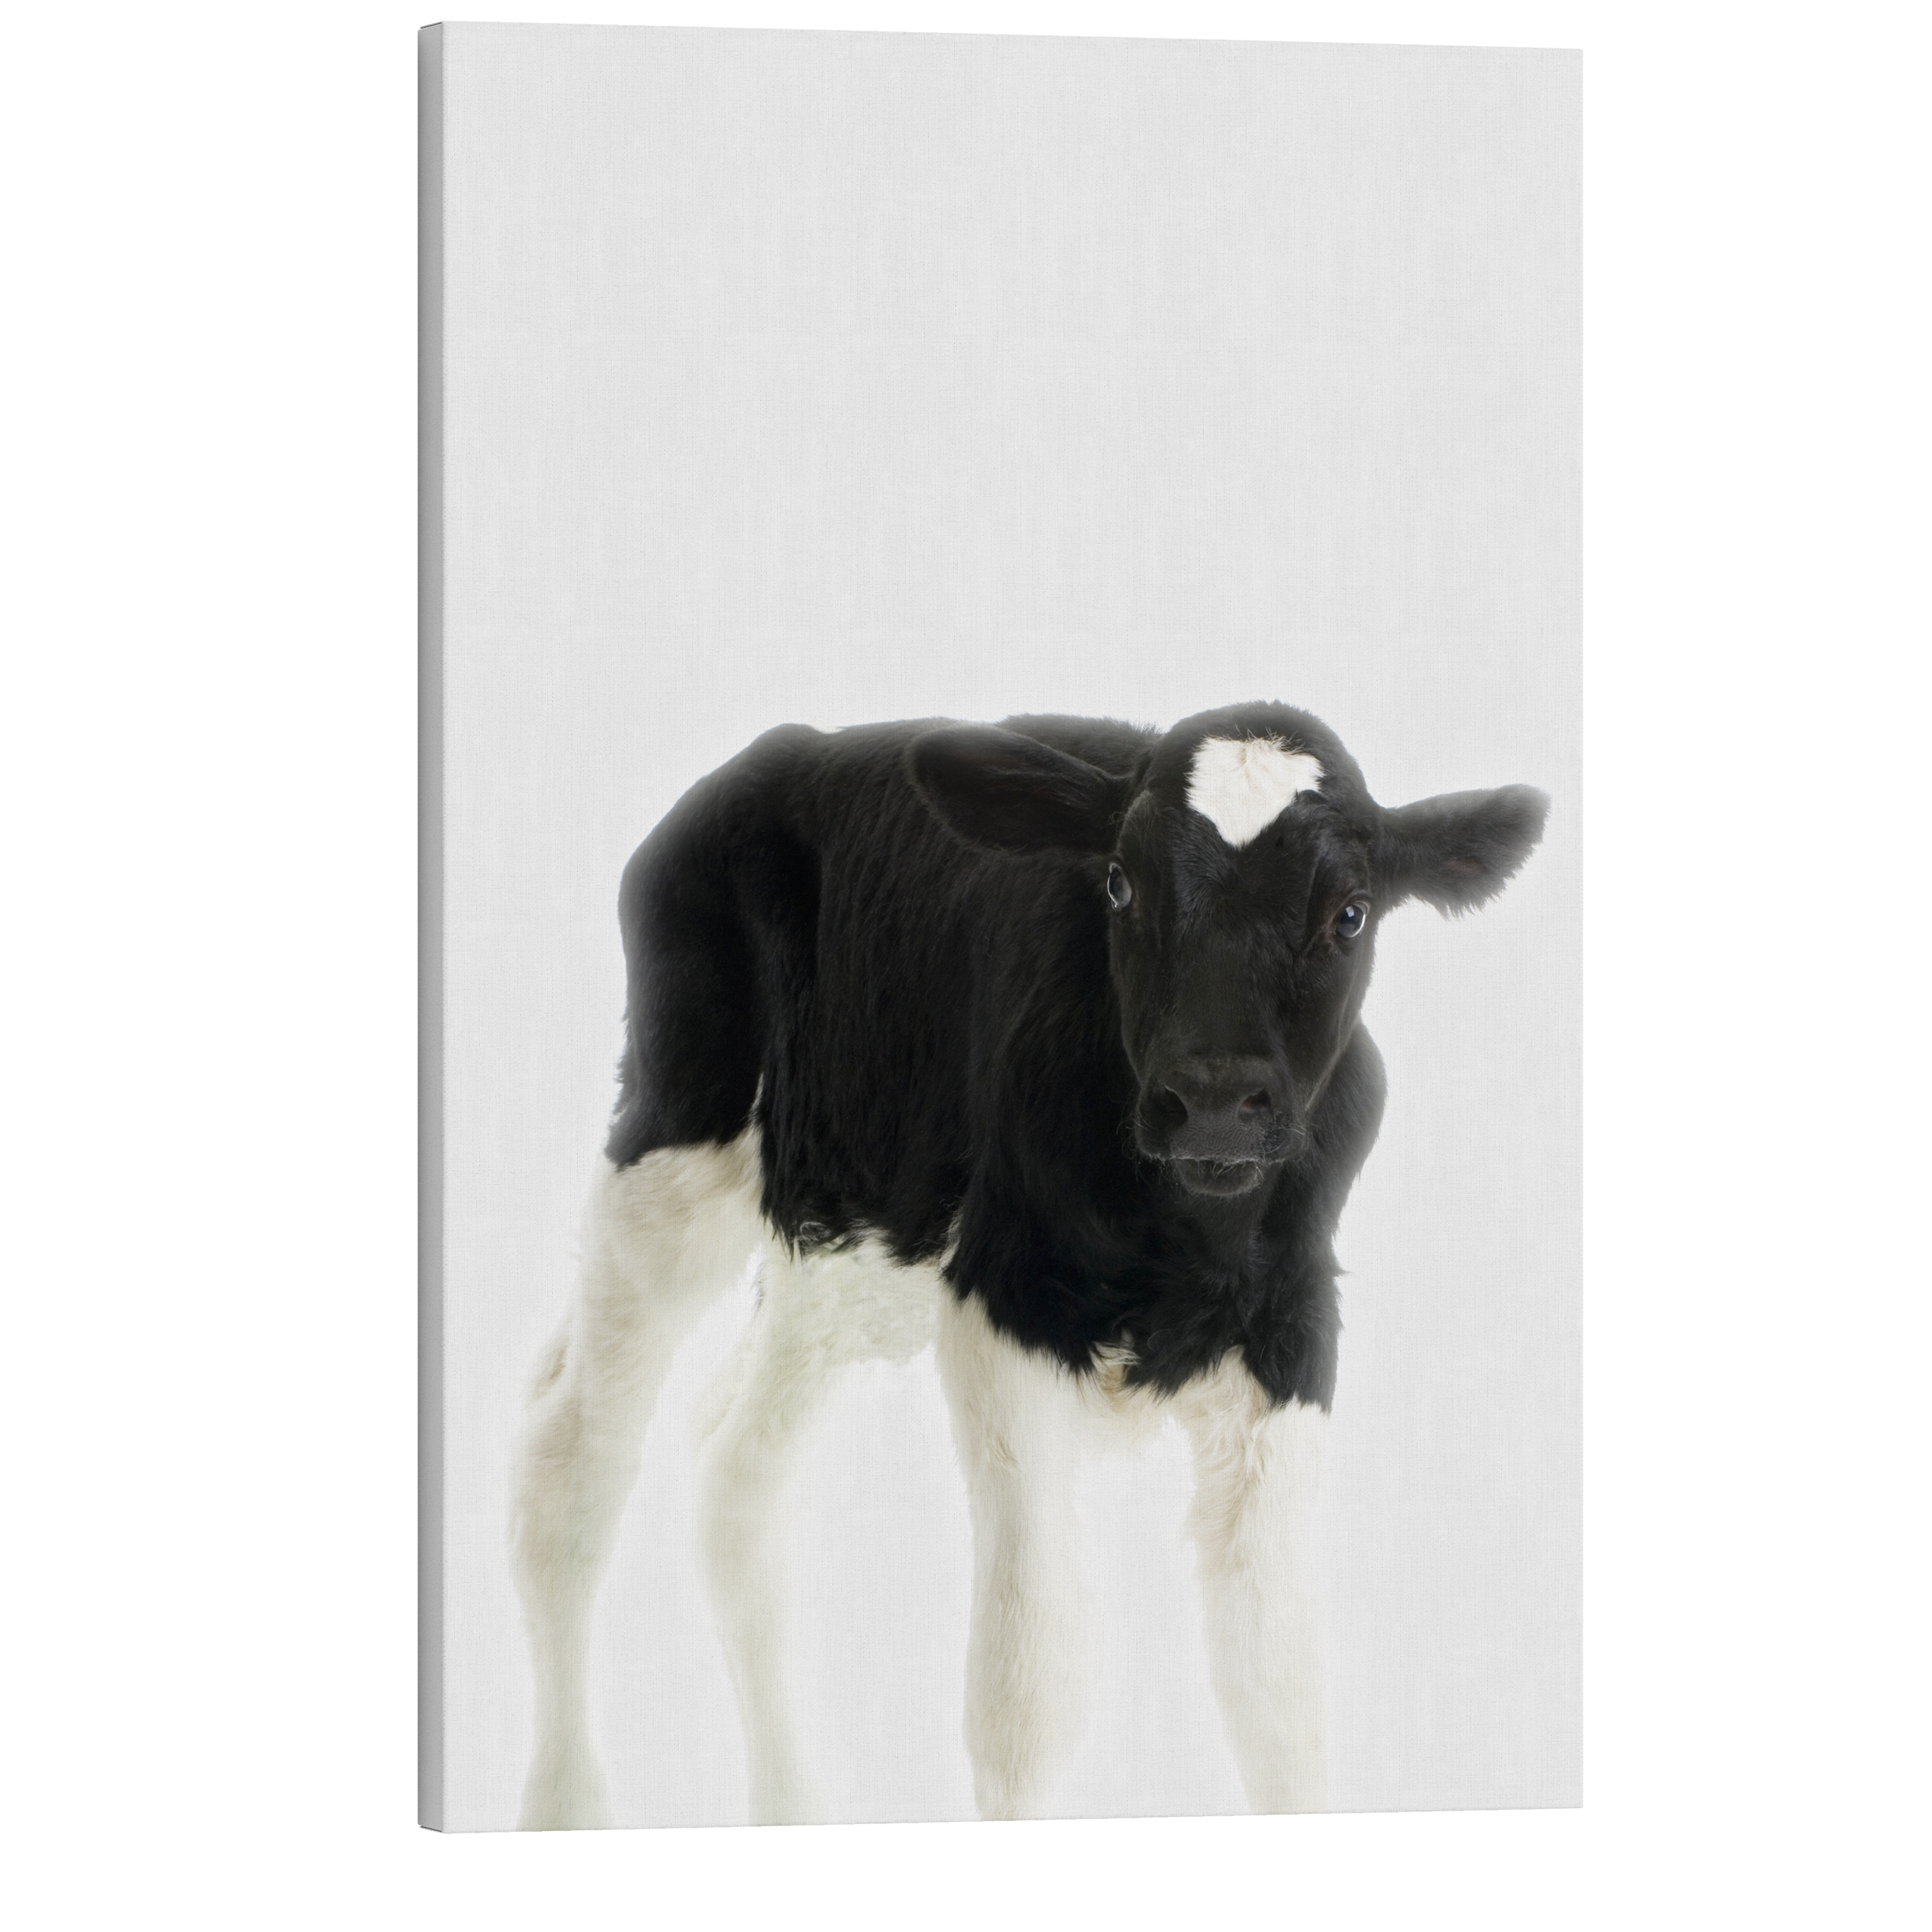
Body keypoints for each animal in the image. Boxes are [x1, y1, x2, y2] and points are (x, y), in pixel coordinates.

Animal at [509, 700, 1548, 1829]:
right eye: (1121, 883)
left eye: (1350, 914)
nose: (1214, 1102)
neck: (1187, 1235)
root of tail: (780, 749)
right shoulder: (1006, 1307)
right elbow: (1026, 1689)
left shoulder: (1293, 1335)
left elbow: (1276, 1692)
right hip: (677, 1132)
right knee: (572, 1460)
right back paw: (563, 1806)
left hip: (848, 1240)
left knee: (735, 1463)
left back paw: (791, 1805)